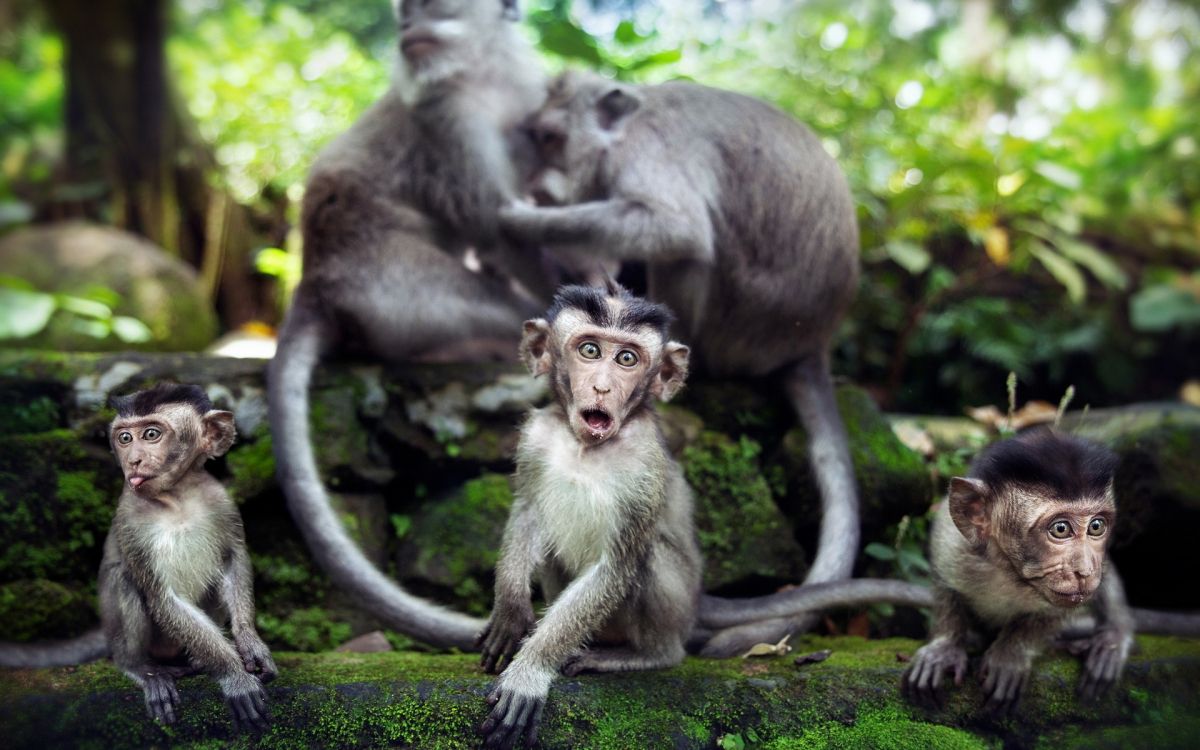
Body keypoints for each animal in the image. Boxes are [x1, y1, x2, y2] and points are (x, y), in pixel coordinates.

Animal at [0, 379, 274, 724]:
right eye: (125, 438)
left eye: (151, 434)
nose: (133, 461)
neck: (177, 498)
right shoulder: (131, 517)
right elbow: (162, 596)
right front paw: (233, 675)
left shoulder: (221, 501)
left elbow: (233, 561)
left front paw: (250, 643)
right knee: (125, 580)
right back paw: (140, 667)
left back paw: (197, 662)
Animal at [266, 0, 549, 643]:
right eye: (404, 12)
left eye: (433, 7)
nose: (408, 26)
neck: (481, 73)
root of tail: (315, 279)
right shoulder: (445, 119)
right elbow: (497, 221)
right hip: (399, 288)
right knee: (492, 304)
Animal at [501, 73, 868, 652]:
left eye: (550, 138)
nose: (537, 183)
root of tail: (812, 342)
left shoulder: (646, 150)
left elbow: (675, 228)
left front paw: (526, 220)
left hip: (741, 330)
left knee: (688, 253)